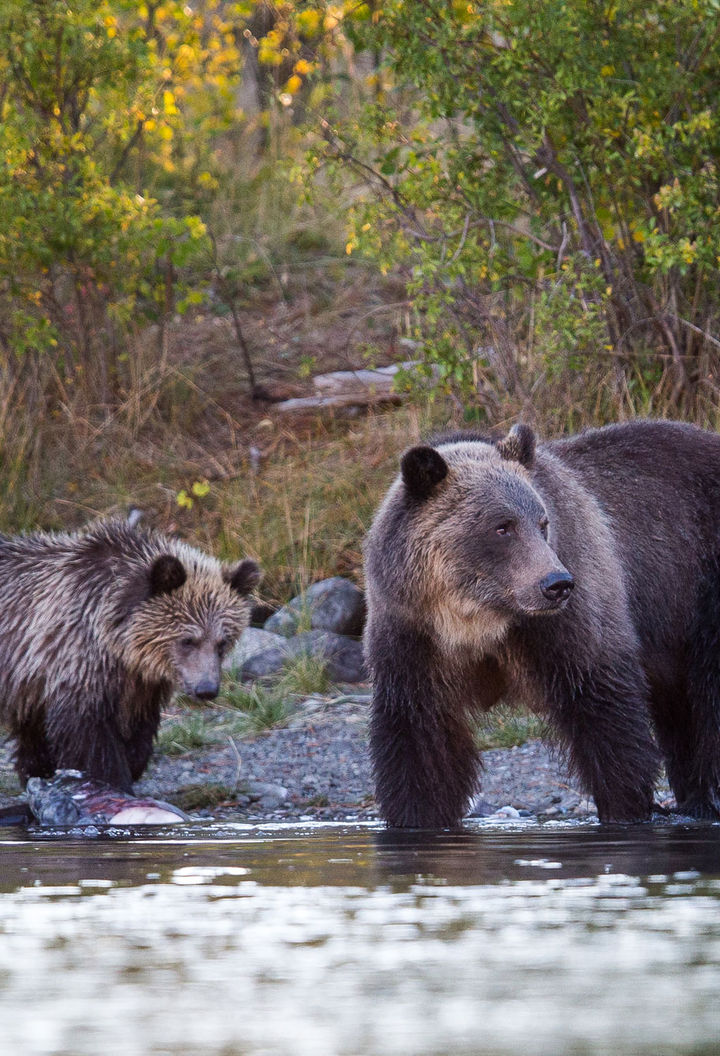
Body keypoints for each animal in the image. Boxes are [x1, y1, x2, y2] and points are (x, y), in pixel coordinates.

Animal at [0, 518, 261, 791]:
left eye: (222, 642)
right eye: (188, 640)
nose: (206, 689)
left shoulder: (140, 683)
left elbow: (140, 727)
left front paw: (132, 761)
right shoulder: (77, 660)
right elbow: (89, 734)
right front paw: (113, 778)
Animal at [364, 418, 720, 828]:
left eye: (542, 522)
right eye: (502, 526)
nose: (557, 584)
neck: (476, 619)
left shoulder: (563, 624)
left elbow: (603, 707)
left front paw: (625, 809)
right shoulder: (413, 635)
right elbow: (419, 736)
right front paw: (416, 816)